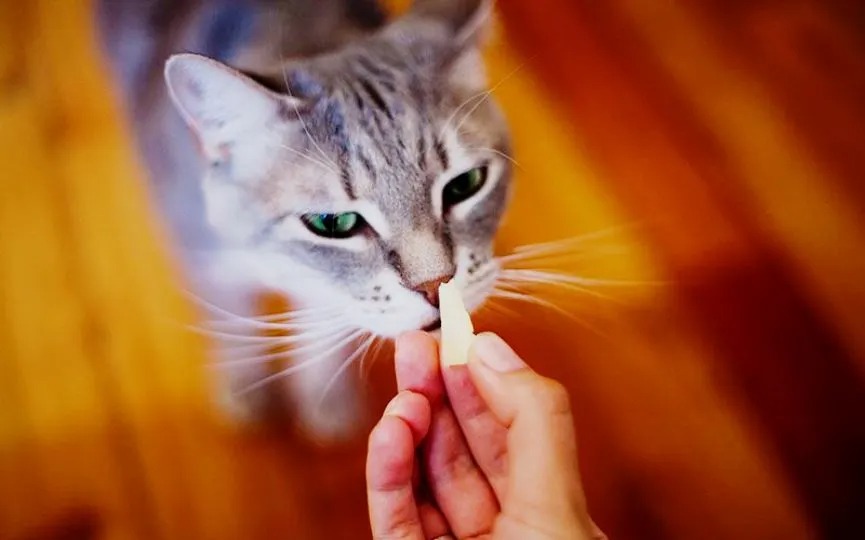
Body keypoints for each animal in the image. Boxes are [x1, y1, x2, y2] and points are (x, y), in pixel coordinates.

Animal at [98, 0, 512, 438]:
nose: (436, 286)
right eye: (333, 224)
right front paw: (244, 387)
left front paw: (325, 400)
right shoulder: (204, 262)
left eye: (465, 185)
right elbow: (235, 326)